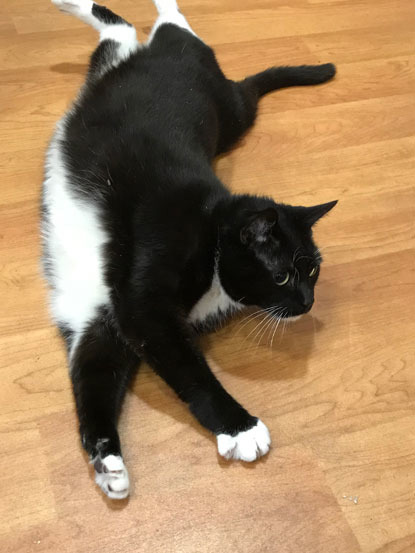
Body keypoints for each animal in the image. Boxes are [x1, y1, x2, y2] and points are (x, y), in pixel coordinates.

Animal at [42, 0, 338, 500]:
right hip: (231, 111)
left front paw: (108, 462)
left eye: (314, 273)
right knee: (154, 33)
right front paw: (241, 428)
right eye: (283, 275)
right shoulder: (144, 305)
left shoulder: (103, 318)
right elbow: (188, 370)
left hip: (156, 85)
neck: (213, 231)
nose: (308, 302)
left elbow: (94, 378)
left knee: (121, 35)